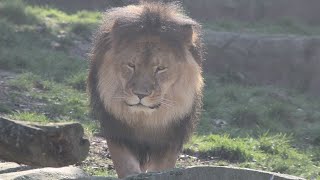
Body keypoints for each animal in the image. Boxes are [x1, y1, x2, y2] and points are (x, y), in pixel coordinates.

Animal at [86, 1, 204, 179]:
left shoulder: (170, 140)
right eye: (131, 65)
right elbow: (126, 167)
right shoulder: (117, 132)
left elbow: (161, 170)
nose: (140, 95)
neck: (145, 120)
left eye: (160, 68)